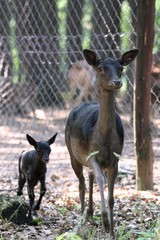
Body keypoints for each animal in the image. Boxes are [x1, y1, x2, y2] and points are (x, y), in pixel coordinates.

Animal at [65, 48, 139, 238]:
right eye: (100, 68)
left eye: (121, 68)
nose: (116, 82)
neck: (104, 139)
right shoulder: (91, 155)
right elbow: (100, 179)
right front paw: (105, 221)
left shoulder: (115, 159)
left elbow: (112, 197)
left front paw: (112, 232)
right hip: (72, 153)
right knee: (82, 182)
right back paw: (82, 218)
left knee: (89, 176)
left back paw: (90, 212)